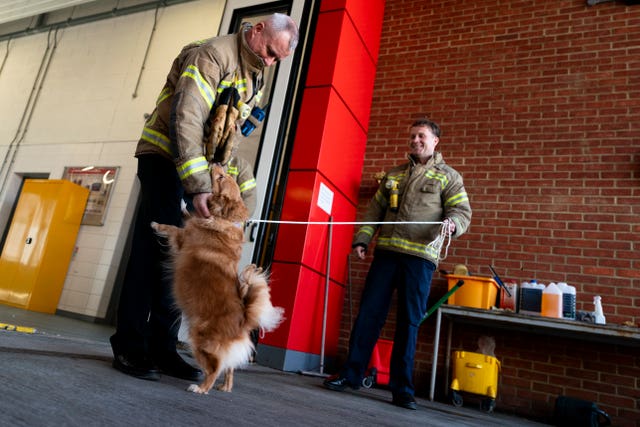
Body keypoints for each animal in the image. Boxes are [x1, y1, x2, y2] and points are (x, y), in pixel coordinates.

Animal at [151, 164, 284, 394]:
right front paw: (184, 204)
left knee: (215, 367)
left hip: (200, 339)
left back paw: (201, 388)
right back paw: (225, 387)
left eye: (220, 177)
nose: (217, 164)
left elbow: (173, 228)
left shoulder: (183, 238)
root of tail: (243, 322)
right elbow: (188, 215)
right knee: (229, 368)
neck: (223, 220)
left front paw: (156, 224)